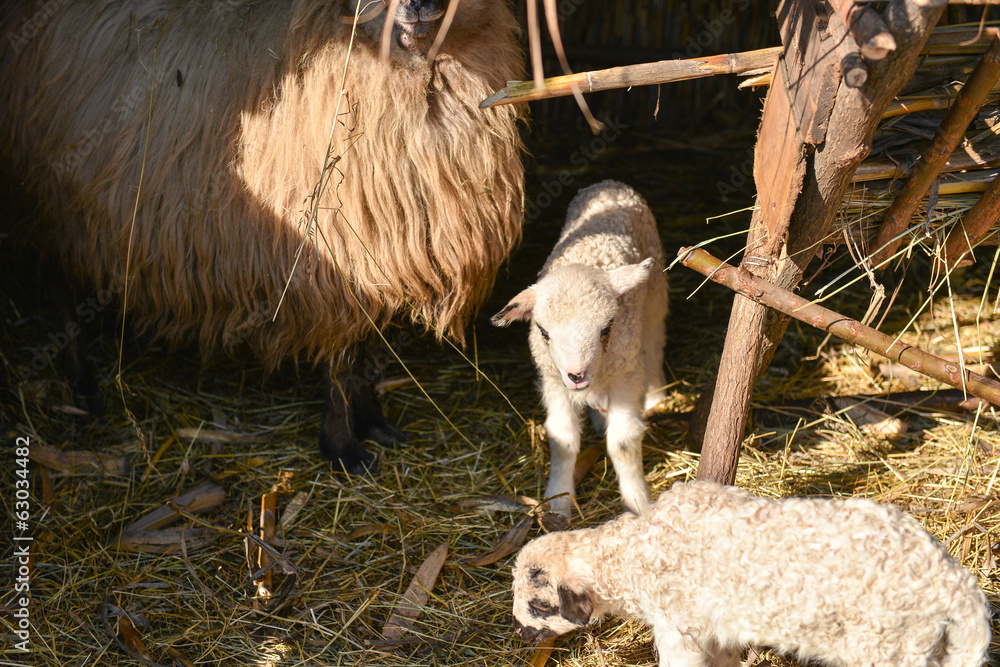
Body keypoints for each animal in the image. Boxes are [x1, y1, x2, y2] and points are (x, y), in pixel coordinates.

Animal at [0, 0, 525, 472]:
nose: (417, 6)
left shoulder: (372, 257)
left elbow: (364, 352)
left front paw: (372, 420)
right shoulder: (333, 256)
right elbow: (341, 360)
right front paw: (343, 448)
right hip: (54, 205)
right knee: (60, 293)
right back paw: (82, 387)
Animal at [491, 180, 668, 517]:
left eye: (607, 327)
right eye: (543, 332)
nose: (576, 375)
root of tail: (610, 183)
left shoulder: (625, 375)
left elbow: (623, 442)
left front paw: (637, 503)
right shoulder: (553, 381)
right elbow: (562, 440)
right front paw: (558, 503)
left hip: (654, 299)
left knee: (654, 346)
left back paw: (657, 395)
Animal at [512, 480, 993, 667]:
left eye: (539, 604)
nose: (517, 631)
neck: (631, 555)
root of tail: (955, 585)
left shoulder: (678, 629)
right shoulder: (719, 631)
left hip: (885, 648)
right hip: (926, 646)